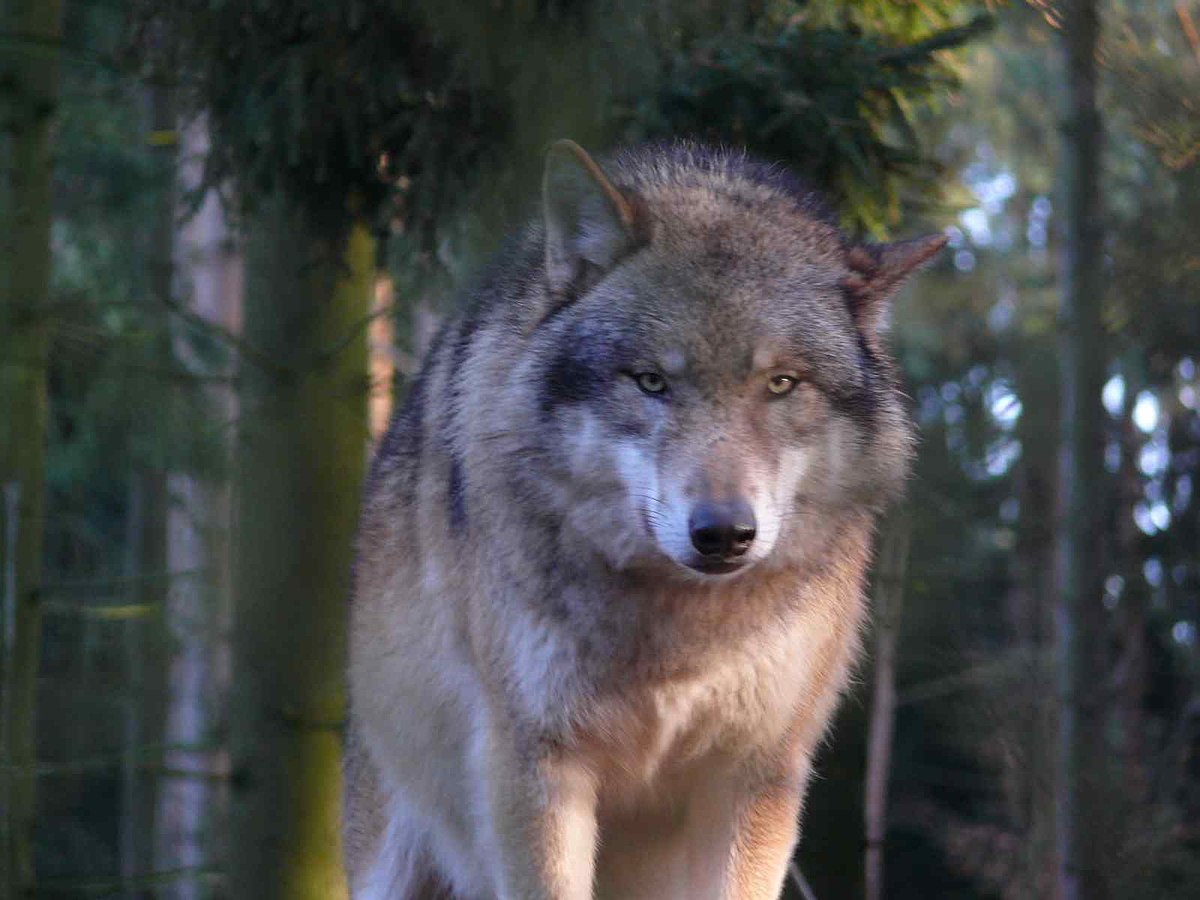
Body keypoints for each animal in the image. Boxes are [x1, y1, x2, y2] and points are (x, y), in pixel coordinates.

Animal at [343, 141, 940, 900]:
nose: (723, 534)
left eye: (781, 384)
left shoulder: (757, 775)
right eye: (652, 381)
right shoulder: (536, 766)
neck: (679, 635)